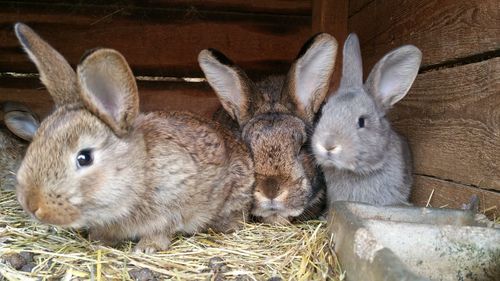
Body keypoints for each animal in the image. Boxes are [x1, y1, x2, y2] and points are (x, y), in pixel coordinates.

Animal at [13, 23, 256, 253]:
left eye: (84, 158)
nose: (31, 204)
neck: (141, 172)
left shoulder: (174, 200)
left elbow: (162, 228)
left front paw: (147, 247)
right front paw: (99, 240)